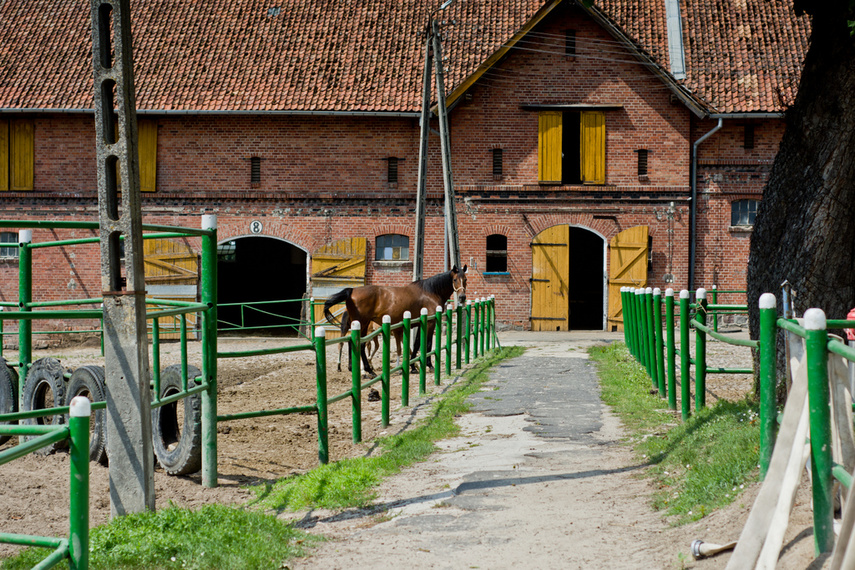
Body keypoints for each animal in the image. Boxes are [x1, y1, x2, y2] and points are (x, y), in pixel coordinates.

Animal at [322, 262, 468, 378]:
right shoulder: (430, 323)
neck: (430, 291)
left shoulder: (419, 323)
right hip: (362, 324)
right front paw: (429, 365)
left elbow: (416, 344)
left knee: (356, 345)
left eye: (465, 279)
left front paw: (413, 367)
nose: (462, 297)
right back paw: (367, 370)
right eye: (455, 279)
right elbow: (427, 344)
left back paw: (364, 370)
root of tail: (351, 291)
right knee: (359, 345)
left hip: (362, 325)